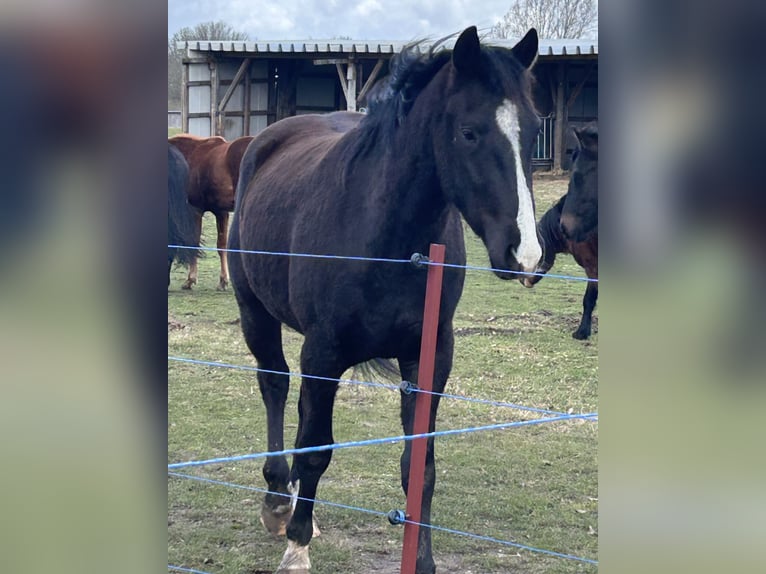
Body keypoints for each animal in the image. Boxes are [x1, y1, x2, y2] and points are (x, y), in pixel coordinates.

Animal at [168, 134, 254, 290]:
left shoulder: (195, 210)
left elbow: (193, 242)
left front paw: (190, 279)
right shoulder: (221, 212)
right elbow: (222, 245)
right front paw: (223, 280)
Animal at [228, 26, 542, 574]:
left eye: (533, 127)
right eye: (469, 132)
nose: (525, 254)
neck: (390, 240)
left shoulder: (430, 356)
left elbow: (420, 463)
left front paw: (423, 560)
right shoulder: (324, 352)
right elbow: (316, 450)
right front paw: (297, 546)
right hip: (257, 316)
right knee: (275, 386)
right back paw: (279, 503)